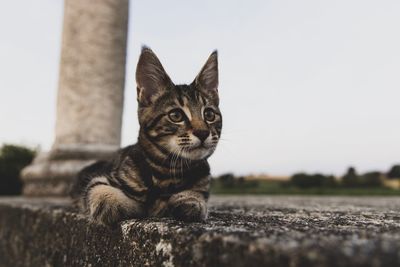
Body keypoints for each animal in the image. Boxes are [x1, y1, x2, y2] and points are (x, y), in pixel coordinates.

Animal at [71, 46, 222, 226]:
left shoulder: (202, 181)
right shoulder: (104, 178)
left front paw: (190, 200)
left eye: (209, 114)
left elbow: (196, 193)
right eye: (176, 115)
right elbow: (97, 189)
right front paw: (116, 203)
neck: (167, 172)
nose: (203, 132)